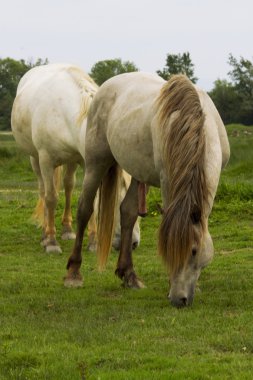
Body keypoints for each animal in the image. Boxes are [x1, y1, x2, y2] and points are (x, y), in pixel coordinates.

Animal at [10, 64, 140, 254]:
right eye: (120, 206)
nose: (133, 244)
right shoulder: (46, 160)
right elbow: (51, 198)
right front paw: (51, 242)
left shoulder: (88, 163)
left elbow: (91, 199)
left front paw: (93, 242)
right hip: (34, 159)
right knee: (43, 191)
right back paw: (44, 234)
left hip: (71, 162)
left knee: (69, 186)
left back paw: (67, 230)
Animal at [64, 72, 230, 308]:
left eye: (194, 251)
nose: (178, 299)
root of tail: (106, 86)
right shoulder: (167, 181)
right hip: (96, 162)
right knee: (85, 209)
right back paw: (74, 273)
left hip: (138, 172)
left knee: (127, 212)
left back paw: (129, 275)